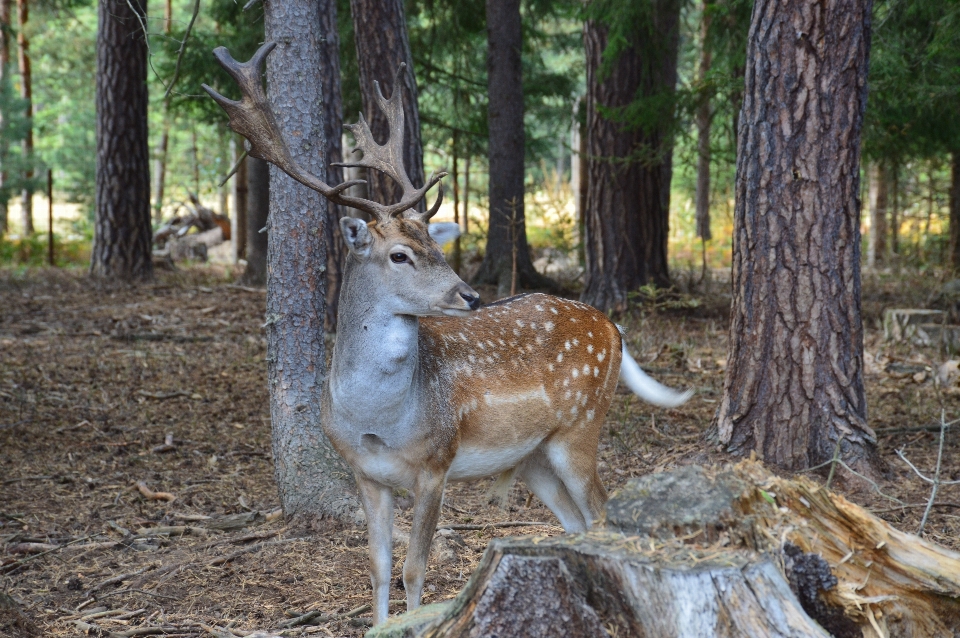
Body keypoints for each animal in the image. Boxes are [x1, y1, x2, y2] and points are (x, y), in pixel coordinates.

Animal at [204, 42, 688, 628]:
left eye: (436, 247)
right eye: (400, 255)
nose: (470, 295)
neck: (379, 420)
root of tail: (612, 326)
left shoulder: (436, 463)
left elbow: (415, 569)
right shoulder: (365, 474)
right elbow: (378, 567)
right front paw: (381, 625)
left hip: (582, 426)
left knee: (601, 513)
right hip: (535, 458)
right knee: (576, 524)